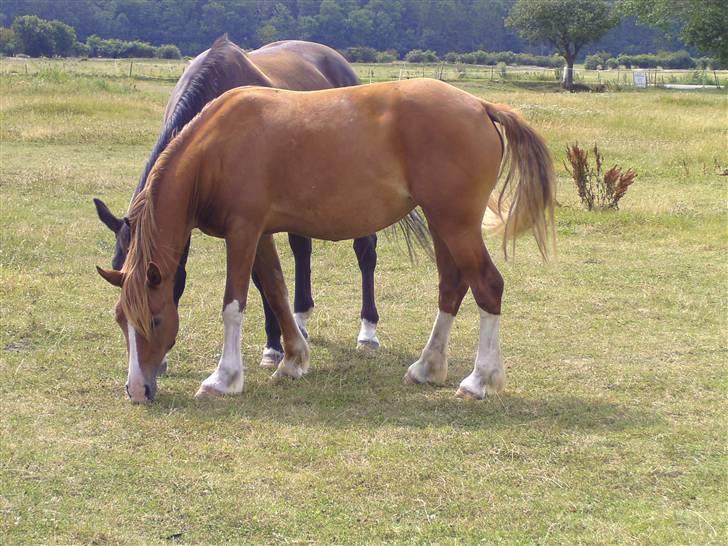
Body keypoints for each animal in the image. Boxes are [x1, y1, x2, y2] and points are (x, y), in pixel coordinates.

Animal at [94, 35, 384, 374]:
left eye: (155, 278)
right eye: (118, 270)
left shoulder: (252, 222)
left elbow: (261, 280)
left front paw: (273, 347)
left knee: (365, 251)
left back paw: (368, 332)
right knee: (302, 249)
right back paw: (300, 320)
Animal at [95, 78, 552, 402]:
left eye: (155, 319)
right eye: (120, 319)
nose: (137, 391)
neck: (215, 149)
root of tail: (481, 106)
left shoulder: (242, 232)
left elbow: (234, 304)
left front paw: (224, 378)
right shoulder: (260, 234)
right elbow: (276, 292)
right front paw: (293, 360)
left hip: (456, 224)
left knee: (487, 286)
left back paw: (479, 380)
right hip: (443, 224)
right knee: (452, 286)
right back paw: (427, 368)